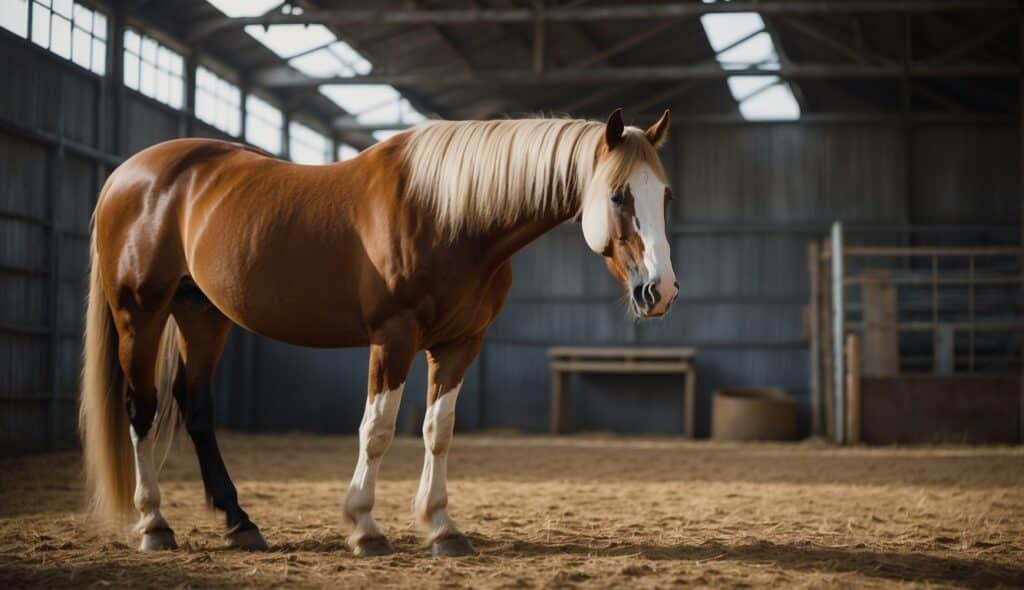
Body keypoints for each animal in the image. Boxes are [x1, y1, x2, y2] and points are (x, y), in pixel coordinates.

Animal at [79, 107, 679, 557]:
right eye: (619, 195)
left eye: (665, 196)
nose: (661, 291)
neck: (451, 215)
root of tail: (125, 175)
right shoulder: (393, 338)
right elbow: (378, 430)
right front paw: (364, 528)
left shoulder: (460, 345)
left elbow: (439, 431)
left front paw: (441, 528)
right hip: (141, 314)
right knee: (142, 409)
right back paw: (155, 525)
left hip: (202, 315)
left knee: (194, 406)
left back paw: (240, 523)